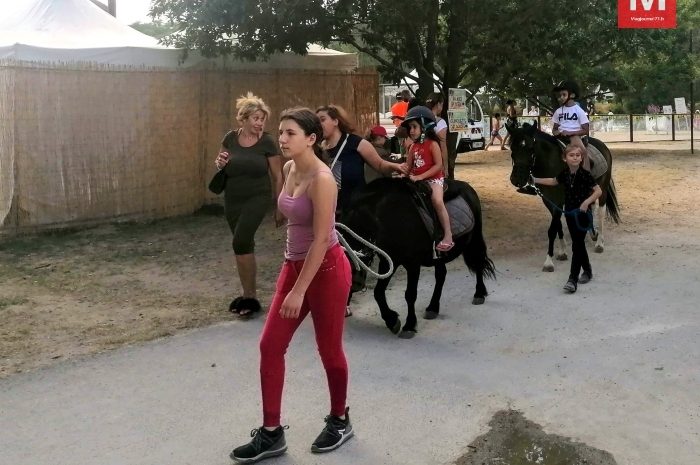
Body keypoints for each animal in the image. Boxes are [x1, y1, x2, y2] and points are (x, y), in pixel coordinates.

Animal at [340, 177, 494, 338]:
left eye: (358, 240)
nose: (355, 283)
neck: (388, 218)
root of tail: (468, 187)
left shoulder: (412, 263)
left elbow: (410, 294)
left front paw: (409, 326)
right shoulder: (389, 261)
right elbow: (378, 292)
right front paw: (392, 320)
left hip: (475, 238)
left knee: (478, 262)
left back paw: (479, 294)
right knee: (441, 275)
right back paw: (433, 307)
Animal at [508, 122, 616, 272]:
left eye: (530, 148)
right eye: (512, 147)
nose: (517, 179)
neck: (550, 163)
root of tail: (602, 145)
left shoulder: (558, 201)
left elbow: (552, 229)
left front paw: (548, 262)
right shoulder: (548, 201)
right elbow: (557, 225)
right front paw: (562, 251)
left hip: (602, 189)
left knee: (600, 212)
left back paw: (599, 243)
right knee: (589, 207)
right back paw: (592, 233)